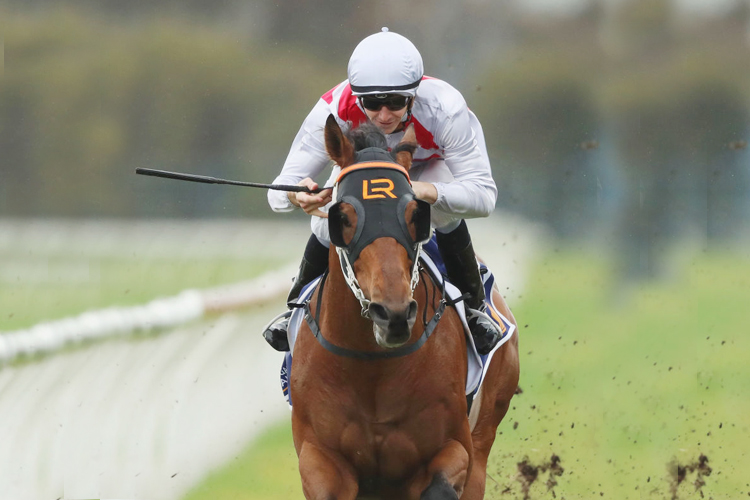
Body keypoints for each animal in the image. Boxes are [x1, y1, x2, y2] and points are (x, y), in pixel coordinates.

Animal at [290, 115, 524, 498]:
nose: (394, 314)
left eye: (416, 214)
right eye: (344, 217)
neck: (371, 366)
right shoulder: (319, 457)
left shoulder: (454, 448)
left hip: (486, 430)